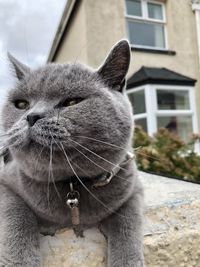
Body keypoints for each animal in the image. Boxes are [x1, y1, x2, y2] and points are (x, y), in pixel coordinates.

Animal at [0, 40, 144, 267]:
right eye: (21, 104)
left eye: (72, 102)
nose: (31, 116)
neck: (72, 184)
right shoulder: (6, 184)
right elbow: (18, 217)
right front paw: (20, 261)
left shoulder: (133, 189)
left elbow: (127, 225)